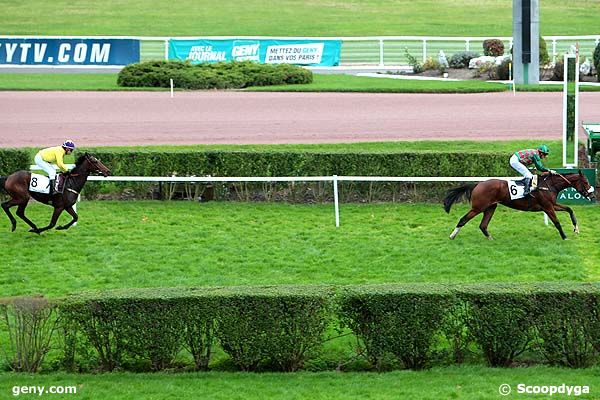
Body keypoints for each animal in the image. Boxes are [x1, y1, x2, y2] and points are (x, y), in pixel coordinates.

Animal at [442, 170, 592, 239]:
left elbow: (569, 209)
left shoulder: (551, 205)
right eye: (585, 182)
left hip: (491, 207)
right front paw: (564, 237)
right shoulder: (548, 207)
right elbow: (557, 222)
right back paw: (452, 236)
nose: (591, 194)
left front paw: (576, 229)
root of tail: (478, 184)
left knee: (483, 225)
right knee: (463, 219)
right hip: (478, 207)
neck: (549, 185)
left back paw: (491, 239)